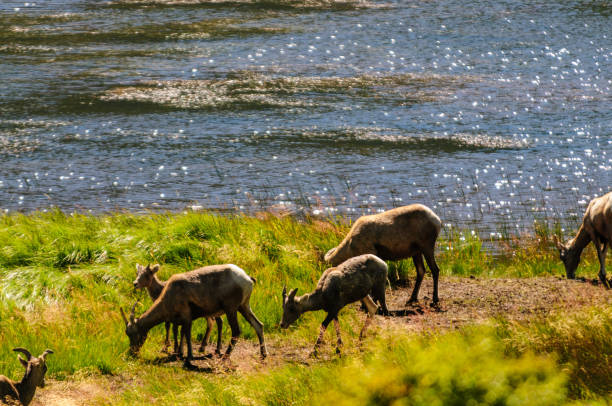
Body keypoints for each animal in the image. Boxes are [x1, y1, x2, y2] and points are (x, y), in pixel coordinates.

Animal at [119, 264, 266, 364]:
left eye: (134, 334)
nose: (132, 352)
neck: (169, 292)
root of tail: (247, 278)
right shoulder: (179, 320)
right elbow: (181, 332)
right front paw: (179, 353)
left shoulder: (186, 317)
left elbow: (186, 334)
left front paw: (187, 356)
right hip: (244, 306)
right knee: (258, 325)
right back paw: (263, 355)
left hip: (231, 309)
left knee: (236, 331)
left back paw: (224, 357)